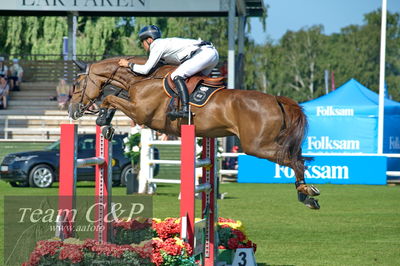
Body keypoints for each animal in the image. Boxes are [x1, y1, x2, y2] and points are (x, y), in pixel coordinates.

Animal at [67, 57, 320, 209]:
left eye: (78, 84)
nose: (71, 109)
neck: (144, 78)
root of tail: (276, 99)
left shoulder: (141, 113)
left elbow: (110, 97)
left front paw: (103, 119)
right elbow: (113, 97)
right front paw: (106, 122)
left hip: (256, 145)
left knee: (294, 160)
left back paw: (306, 193)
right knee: (298, 157)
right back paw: (306, 194)